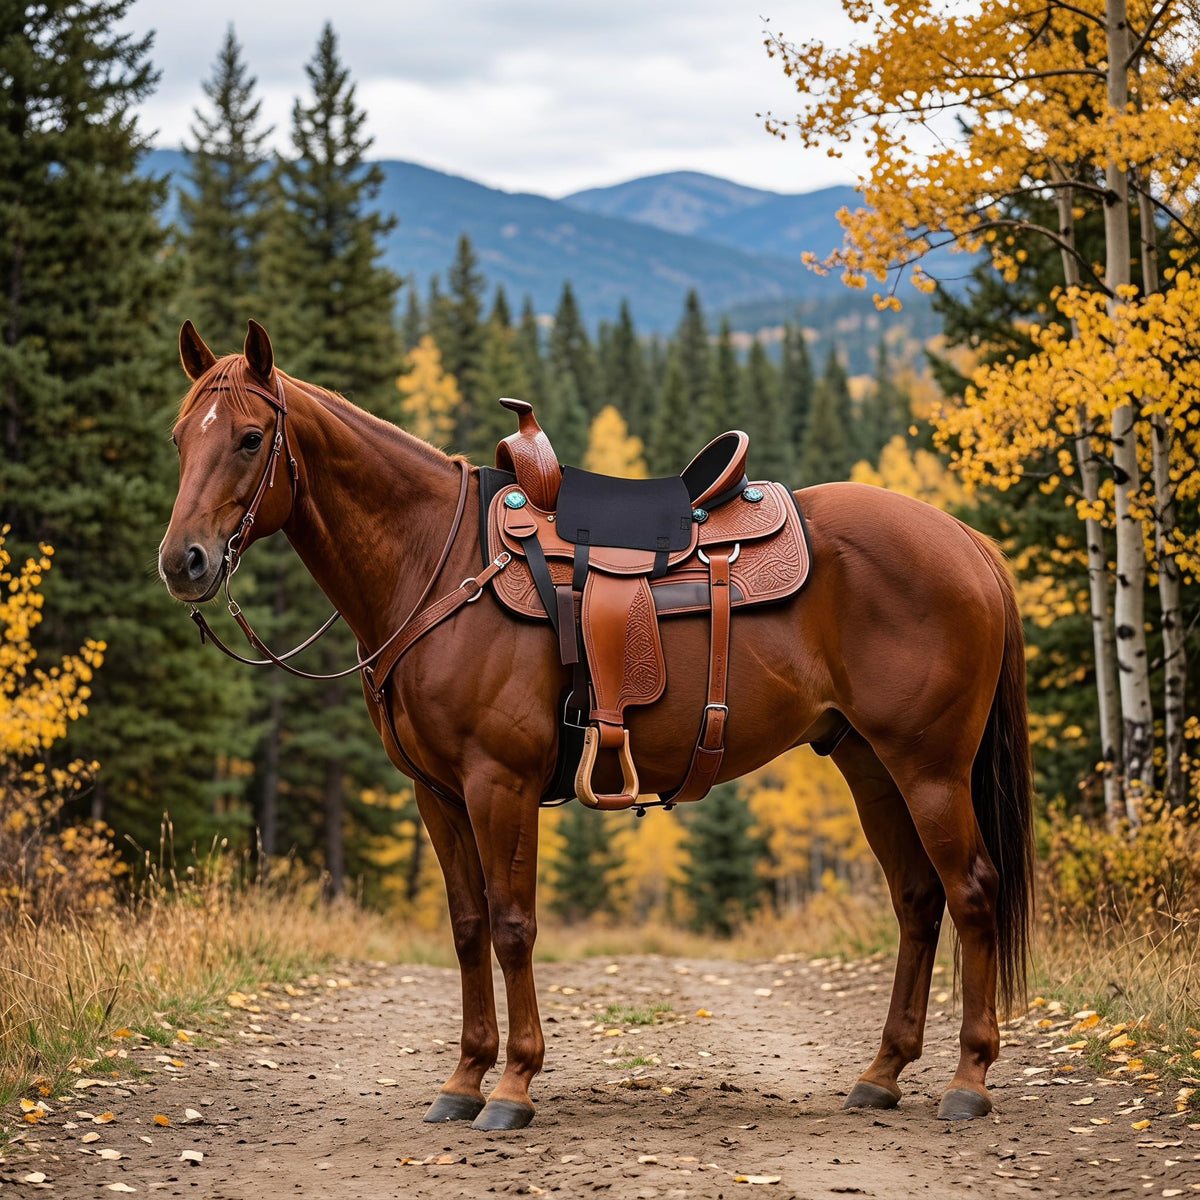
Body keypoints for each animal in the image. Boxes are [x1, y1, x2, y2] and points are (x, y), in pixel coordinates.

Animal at [159, 320, 1034, 1131]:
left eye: (249, 438)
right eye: (179, 436)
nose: (183, 562)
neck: (437, 567)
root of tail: (966, 540)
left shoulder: (499, 781)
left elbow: (513, 926)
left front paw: (513, 1087)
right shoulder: (436, 794)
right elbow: (468, 928)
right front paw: (464, 1080)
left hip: (930, 768)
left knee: (972, 890)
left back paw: (969, 1079)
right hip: (870, 765)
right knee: (917, 899)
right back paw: (882, 1073)